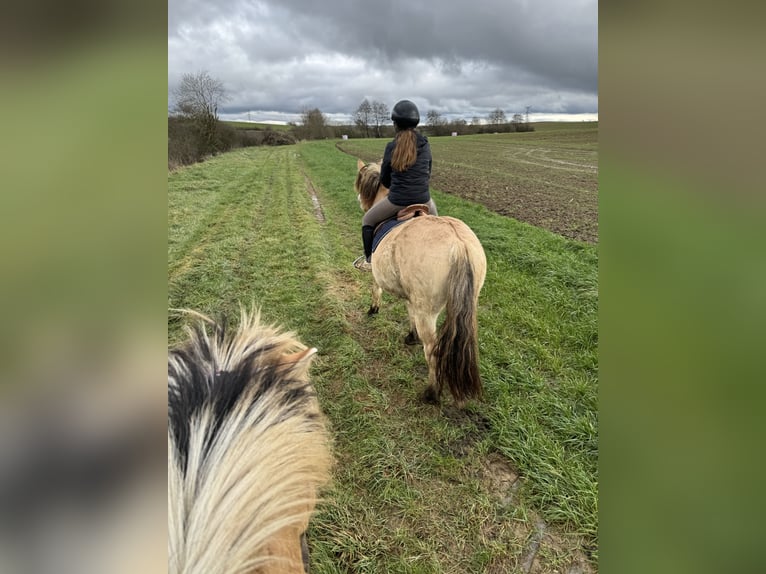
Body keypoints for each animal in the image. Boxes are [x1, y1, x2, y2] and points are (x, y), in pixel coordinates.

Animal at [352, 160, 486, 408]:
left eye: (361, 182)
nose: (360, 201)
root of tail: (458, 244)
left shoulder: (378, 275)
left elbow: (376, 290)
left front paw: (373, 309)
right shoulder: (410, 295)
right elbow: (409, 311)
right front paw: (411, 336)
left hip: (428, 311)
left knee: (432, 350)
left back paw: (431, 393)